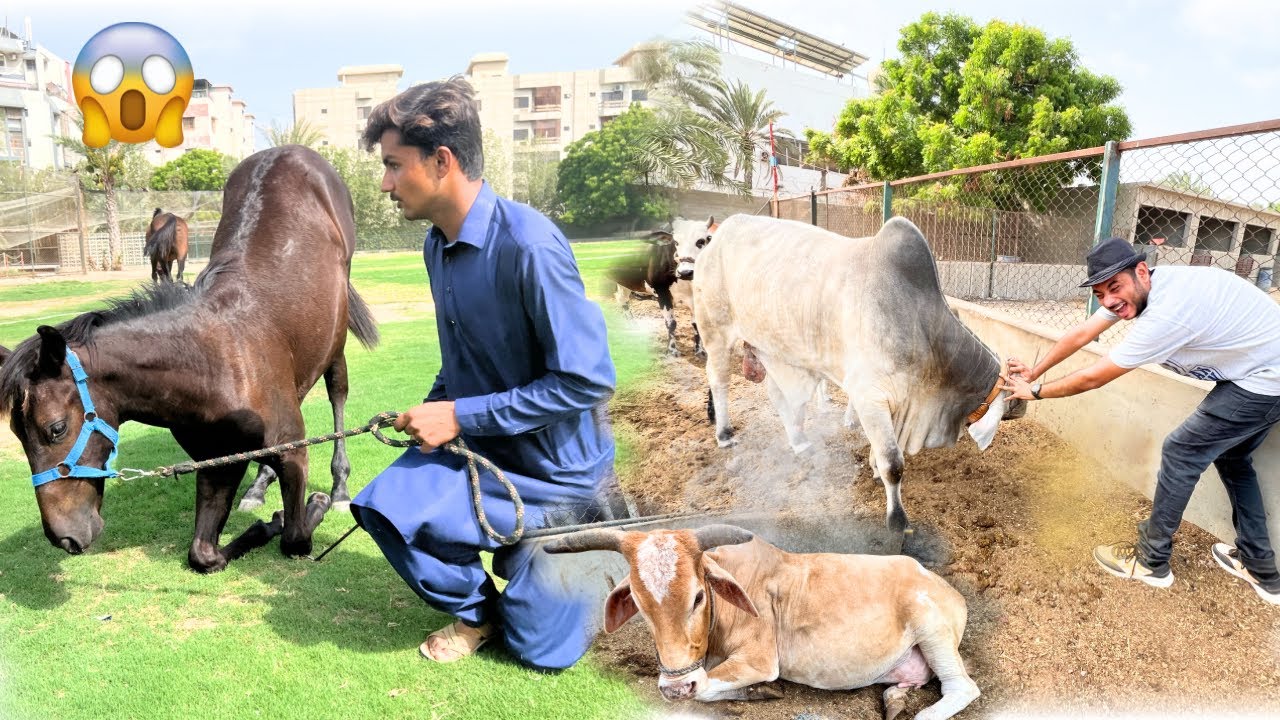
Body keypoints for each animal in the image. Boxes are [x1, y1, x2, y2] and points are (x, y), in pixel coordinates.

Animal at [0, 145, 379, 573]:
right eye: (17, 436)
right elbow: (203, 553)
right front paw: (263, 523)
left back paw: (339, 484)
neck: (214, 362)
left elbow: (296, 537)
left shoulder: (293, 451)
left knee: (337, 393)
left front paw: (311, 505)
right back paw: (260, 484)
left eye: (57, 429)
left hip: (336, 333)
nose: (64, 537)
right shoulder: (216, 460)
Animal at [545, 524, 978, 720]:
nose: (674, 687)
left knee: (963, 687)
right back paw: (894, 700)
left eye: (698, 596)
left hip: (931, 627)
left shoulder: (758, 659)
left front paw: (758, 692)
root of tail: (949, 589)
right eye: (638, 602)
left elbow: (705, 688)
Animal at [693, 215, 1025, 533]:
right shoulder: (868, 395)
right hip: (715, 332)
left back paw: (799, 441)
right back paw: (724, 435)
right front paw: (897, 520)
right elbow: (894, 463)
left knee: (779, 396)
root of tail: (714, 239)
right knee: (719, 381)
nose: (1022, 404)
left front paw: (875, 472)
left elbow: (882, 453)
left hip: (776, 349)